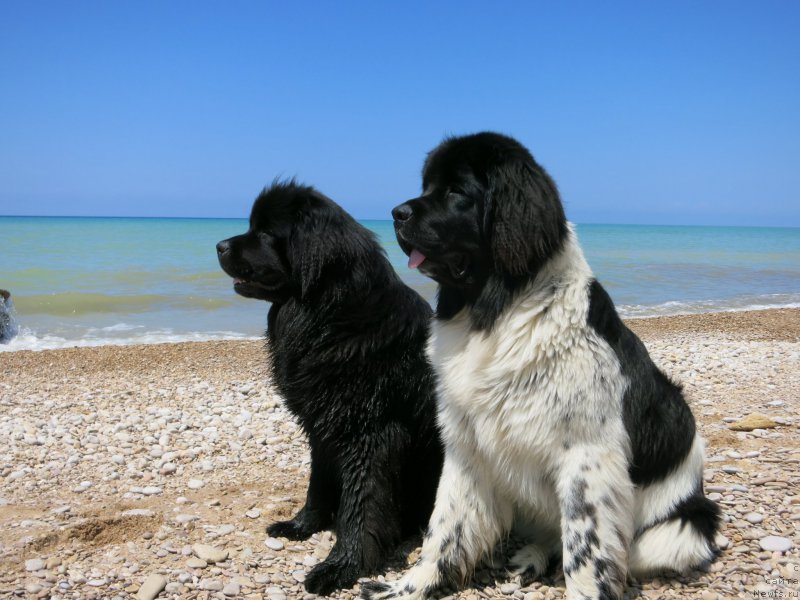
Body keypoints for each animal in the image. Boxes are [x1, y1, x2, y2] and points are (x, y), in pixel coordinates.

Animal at [217, 180, 444, 592]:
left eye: (265, 232)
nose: (219, 246)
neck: (327, 316)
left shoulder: (371, 433)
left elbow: (361, 502)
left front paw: (342, 566)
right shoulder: (322, 424)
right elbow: (319, 482)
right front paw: (302, 525)